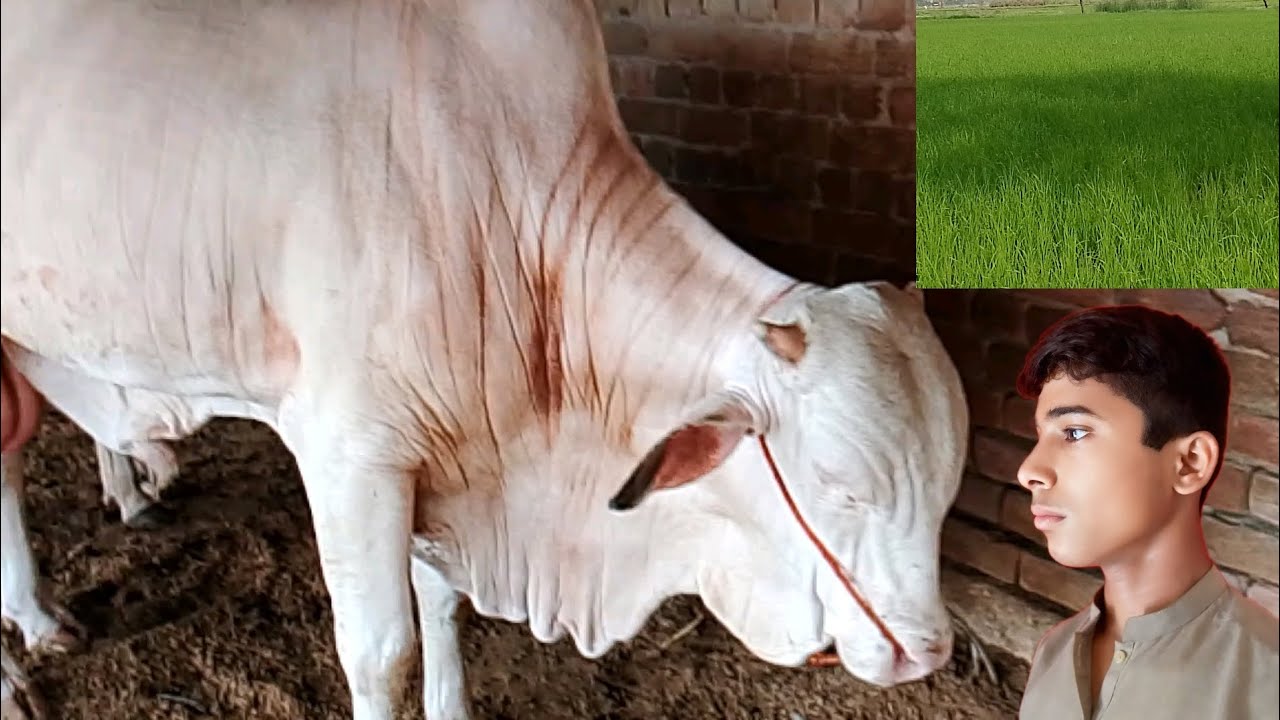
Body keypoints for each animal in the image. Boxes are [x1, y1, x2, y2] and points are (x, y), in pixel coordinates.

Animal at [1, 1, 970, 719]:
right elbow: (380, 651)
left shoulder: (445, 447)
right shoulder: (352, 455)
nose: (927, 654)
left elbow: (441, 603)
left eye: (945, 485)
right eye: (843, 488)